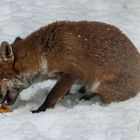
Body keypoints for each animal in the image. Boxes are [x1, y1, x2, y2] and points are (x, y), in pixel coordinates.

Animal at [0, 20, 140, 112]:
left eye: (0, 78)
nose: (0, 100)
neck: (44, 53)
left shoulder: (72, 73)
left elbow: (52, 95)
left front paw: (40, 111)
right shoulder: (60, 76)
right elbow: (61, 93)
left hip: (98, 85)